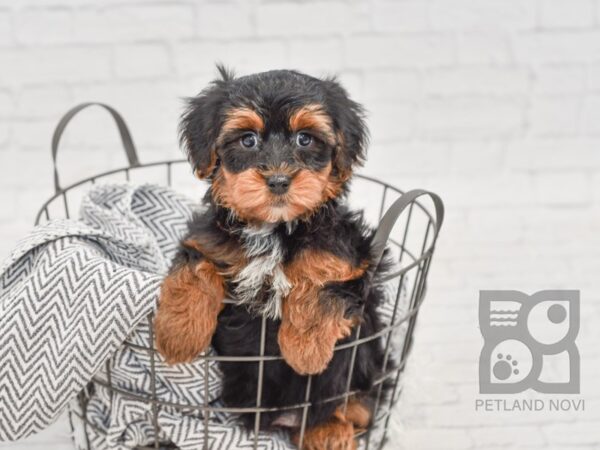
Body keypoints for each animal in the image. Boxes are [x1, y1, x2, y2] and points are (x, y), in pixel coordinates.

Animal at [155, 67, 390, 450]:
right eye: (248, 140)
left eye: (305, 140)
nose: (279, 180)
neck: (274, 229)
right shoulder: (207, 241)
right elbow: (195, 268)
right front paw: (179, 336)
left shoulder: (352, 259)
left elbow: (325, 282)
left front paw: (305, 349)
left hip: (364, 367)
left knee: (348, 406)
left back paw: (329, 430)